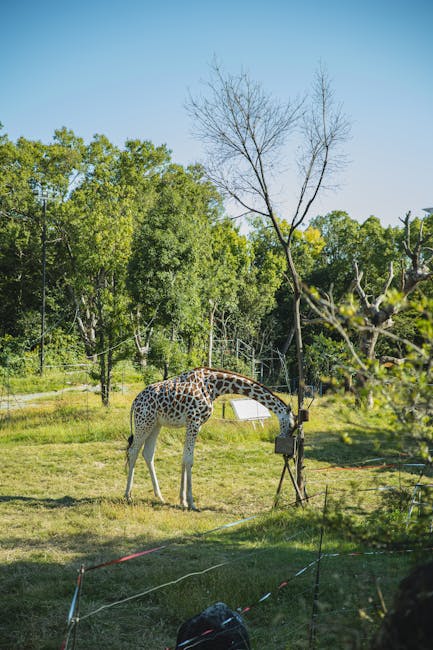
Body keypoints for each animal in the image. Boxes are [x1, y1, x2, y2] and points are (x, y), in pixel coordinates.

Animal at [125, 368, 294, 508]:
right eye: (292, 425)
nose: (288, 450)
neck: (214, 387)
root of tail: (134, 402)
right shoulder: (194, 421)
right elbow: (189, 460)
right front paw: (191, 502)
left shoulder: (195, 424)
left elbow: (184, 458)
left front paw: (182, 500)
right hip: (144, 422)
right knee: (133, 452)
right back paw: (128, 495)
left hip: (155, 424)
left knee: (147, 454)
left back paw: (159, 496)